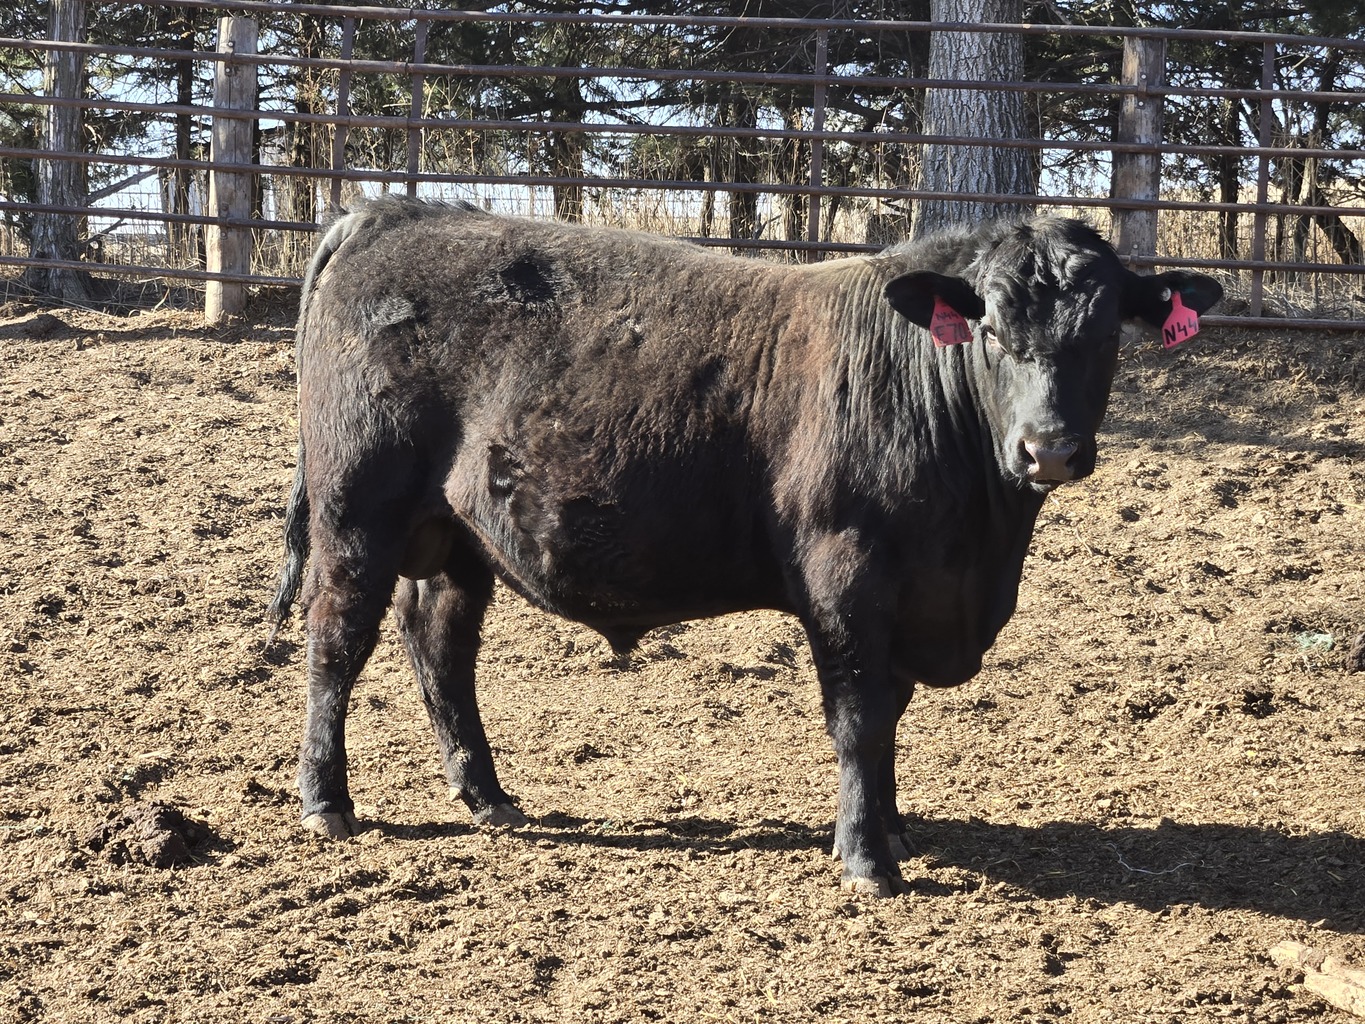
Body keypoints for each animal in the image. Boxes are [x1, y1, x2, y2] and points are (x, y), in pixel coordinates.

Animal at [269, 196, 1221, 896]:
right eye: (989, 330)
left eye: (1106, 334)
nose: (1048, 448)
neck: (976, 540)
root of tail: (390, 212)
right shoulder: (845, 576)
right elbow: (860, 717)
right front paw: (866, 859)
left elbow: (890, 714)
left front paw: (891, 826)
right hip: (355, 512)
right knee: (335, 641)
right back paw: (327, 801)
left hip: (457, 536)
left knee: (439, 644)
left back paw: (487, 796)